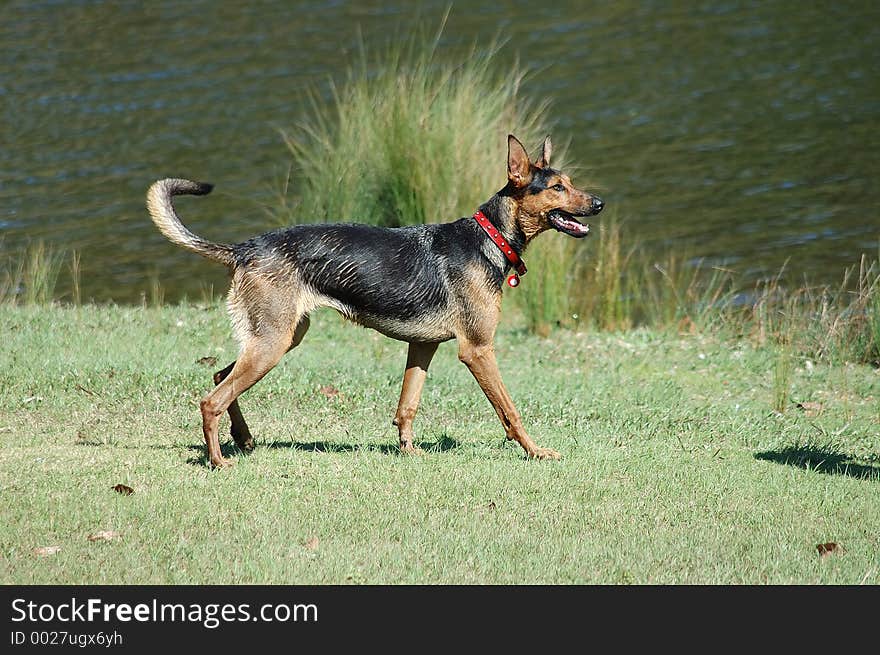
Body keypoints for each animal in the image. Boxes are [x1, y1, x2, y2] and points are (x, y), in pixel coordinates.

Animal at [150, 136, 604, 468]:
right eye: (558, 188)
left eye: (570, 182)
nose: (599, 203)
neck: (488, 237)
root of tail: (244, 248)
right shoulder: (477, 350)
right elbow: (510, 412)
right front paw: (536, 451)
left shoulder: (423, 345)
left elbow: (408, 405)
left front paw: (409, 451)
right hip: (271, 344)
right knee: (212, 399)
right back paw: (218, 461)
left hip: (279, 337)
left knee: (219, 377)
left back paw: (242, 439)